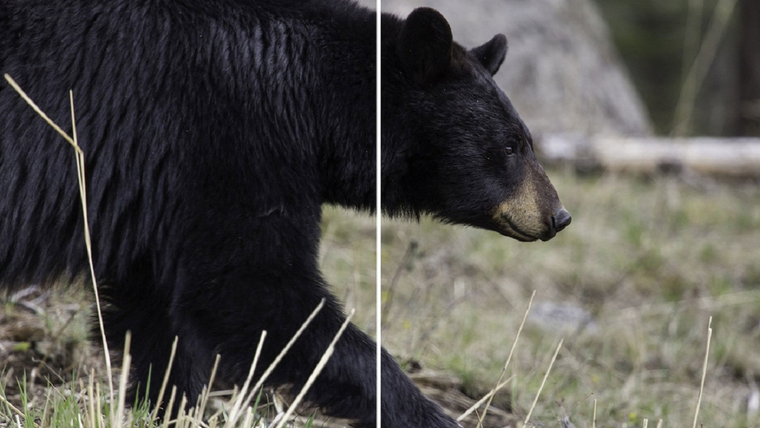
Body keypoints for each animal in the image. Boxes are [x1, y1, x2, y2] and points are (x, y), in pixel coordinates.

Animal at [0, 1, 569, 428]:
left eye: (526, 140)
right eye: (512, 145)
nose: (558, 215)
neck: (311, 96)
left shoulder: (161, 196)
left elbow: (155, 313)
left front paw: (168, 407)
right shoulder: (227, 141)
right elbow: (255, 292)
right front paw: (428, 414)